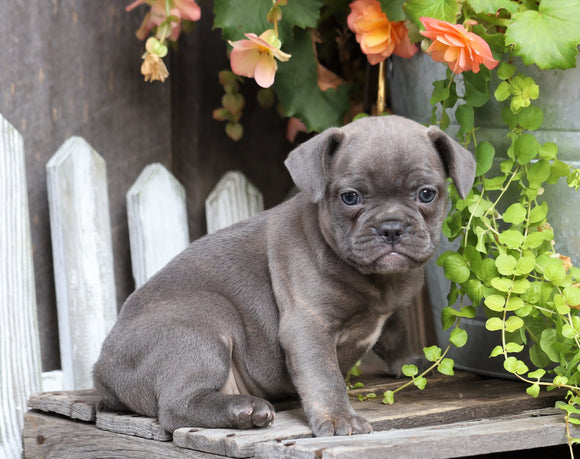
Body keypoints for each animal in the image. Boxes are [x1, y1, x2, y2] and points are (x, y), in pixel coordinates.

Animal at [94, 115, 476, 438]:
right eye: (350, 198)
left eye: (426, 193)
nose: (391, 227)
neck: (377, 280)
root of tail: (101, 373)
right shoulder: (308, 326)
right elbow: (325, 375)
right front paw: (339, 418)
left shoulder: (389, 310)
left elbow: (396, 332)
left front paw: (410, 363)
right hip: (201, 317)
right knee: (176, 407)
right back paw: (244, 411)